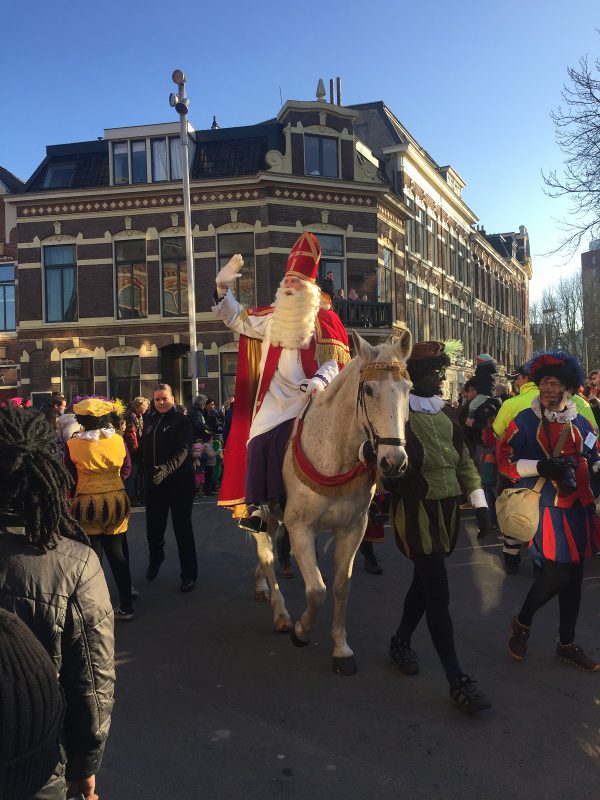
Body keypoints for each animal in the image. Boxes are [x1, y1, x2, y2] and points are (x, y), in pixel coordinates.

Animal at [251, 330, 410, 676]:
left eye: (409, 389)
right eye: (368, 389)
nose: (394, 462)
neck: (334, 455)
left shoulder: (353, 528)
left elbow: (340, 586)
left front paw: (341, 648)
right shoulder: (301, 528)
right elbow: (317, 590)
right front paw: (301, 631)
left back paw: (261, 587)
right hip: (263, 514)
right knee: (266, 554)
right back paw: (281, 613)